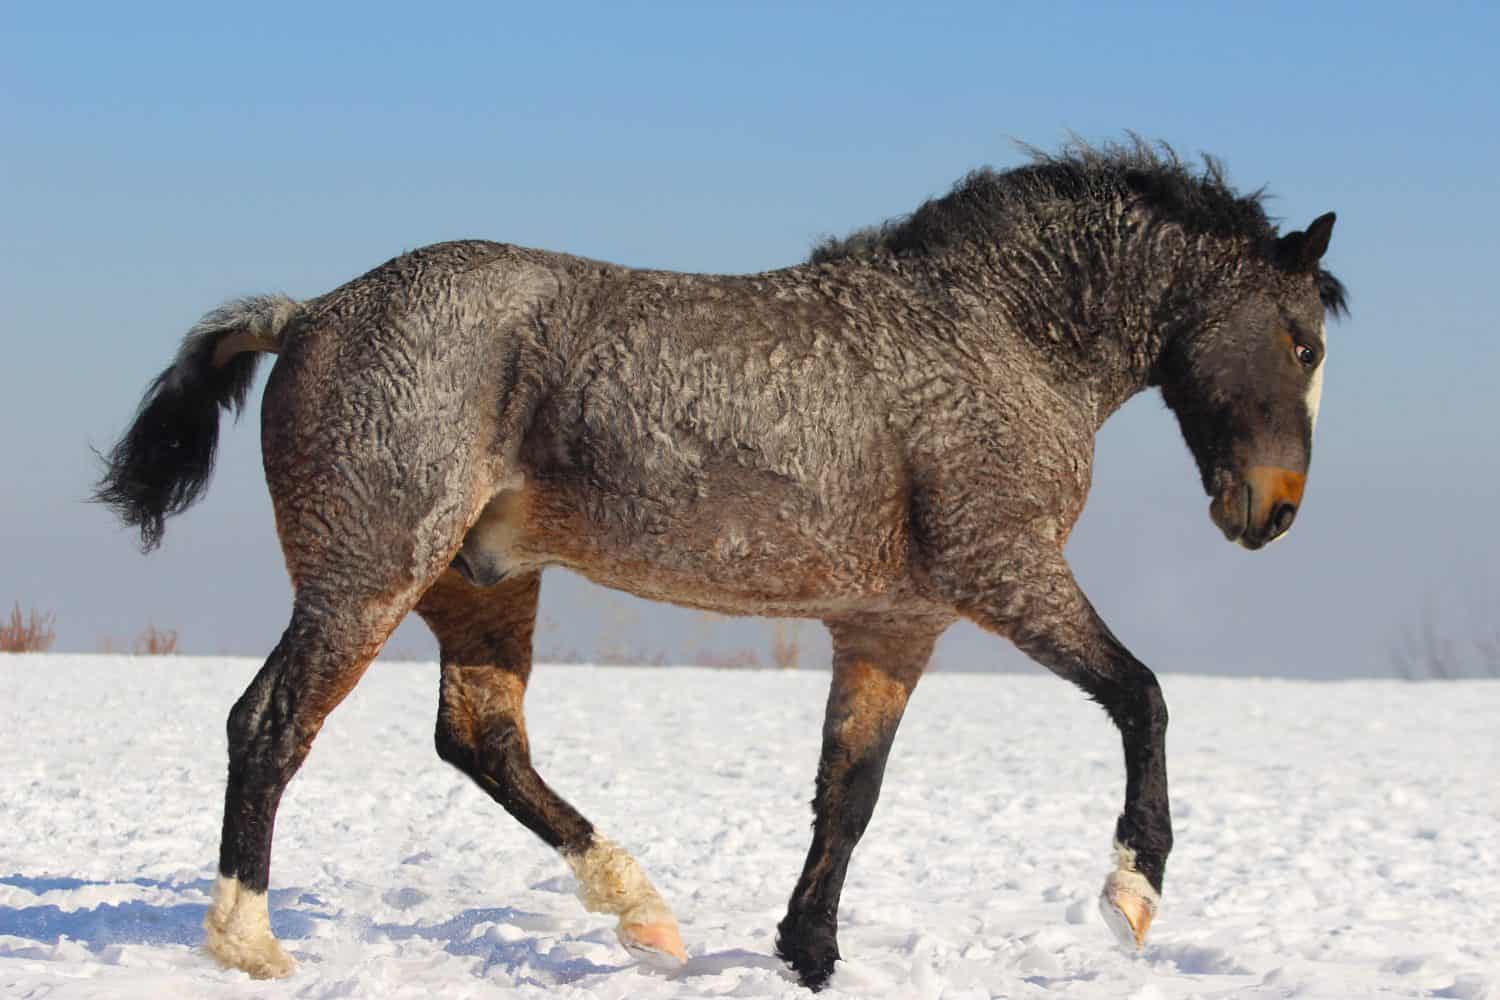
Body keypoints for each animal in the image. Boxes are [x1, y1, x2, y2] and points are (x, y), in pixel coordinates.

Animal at [95, 140, 1345, 990]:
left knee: (481, 739)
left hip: (482, 582)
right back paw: (248, 940)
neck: (997, 342)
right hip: (368, 577)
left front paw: (808, 952)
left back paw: (641, 909)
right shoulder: (1006, 573)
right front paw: (1133, 896)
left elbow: (849, 793)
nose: (1277, 511)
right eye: (1300, 342)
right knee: (270, 723)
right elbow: (1143, 696)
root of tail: (307, 311)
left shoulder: (892, 626)